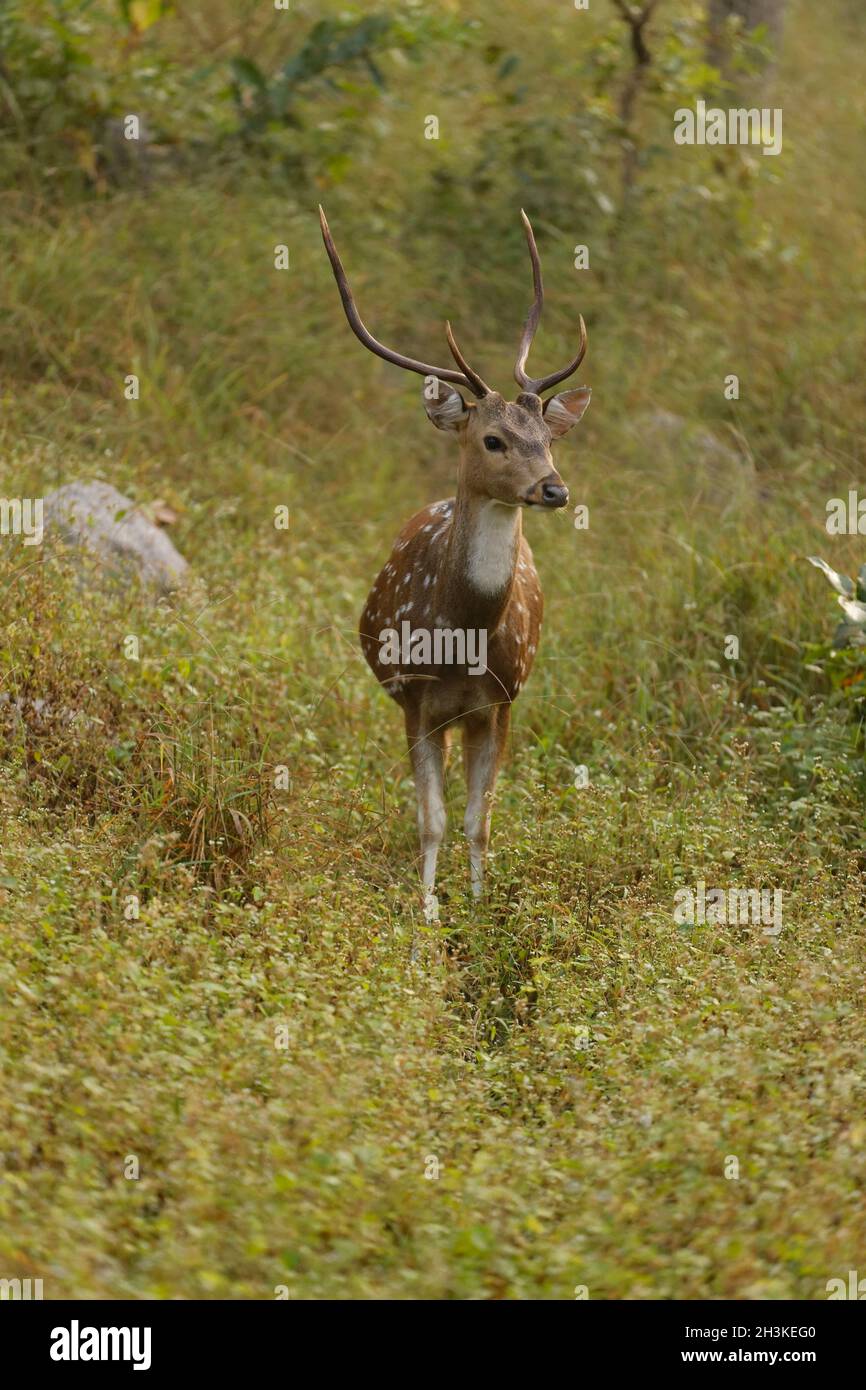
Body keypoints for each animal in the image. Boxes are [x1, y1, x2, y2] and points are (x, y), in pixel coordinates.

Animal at [322, 205, 592, 917]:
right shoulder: (415, 698)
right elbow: (432, 820)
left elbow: (479, 821)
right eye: (492, 439)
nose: (554, 489)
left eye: (548, 436)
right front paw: (427, 915)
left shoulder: (501, 698)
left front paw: (475, 909)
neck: (461, 637)